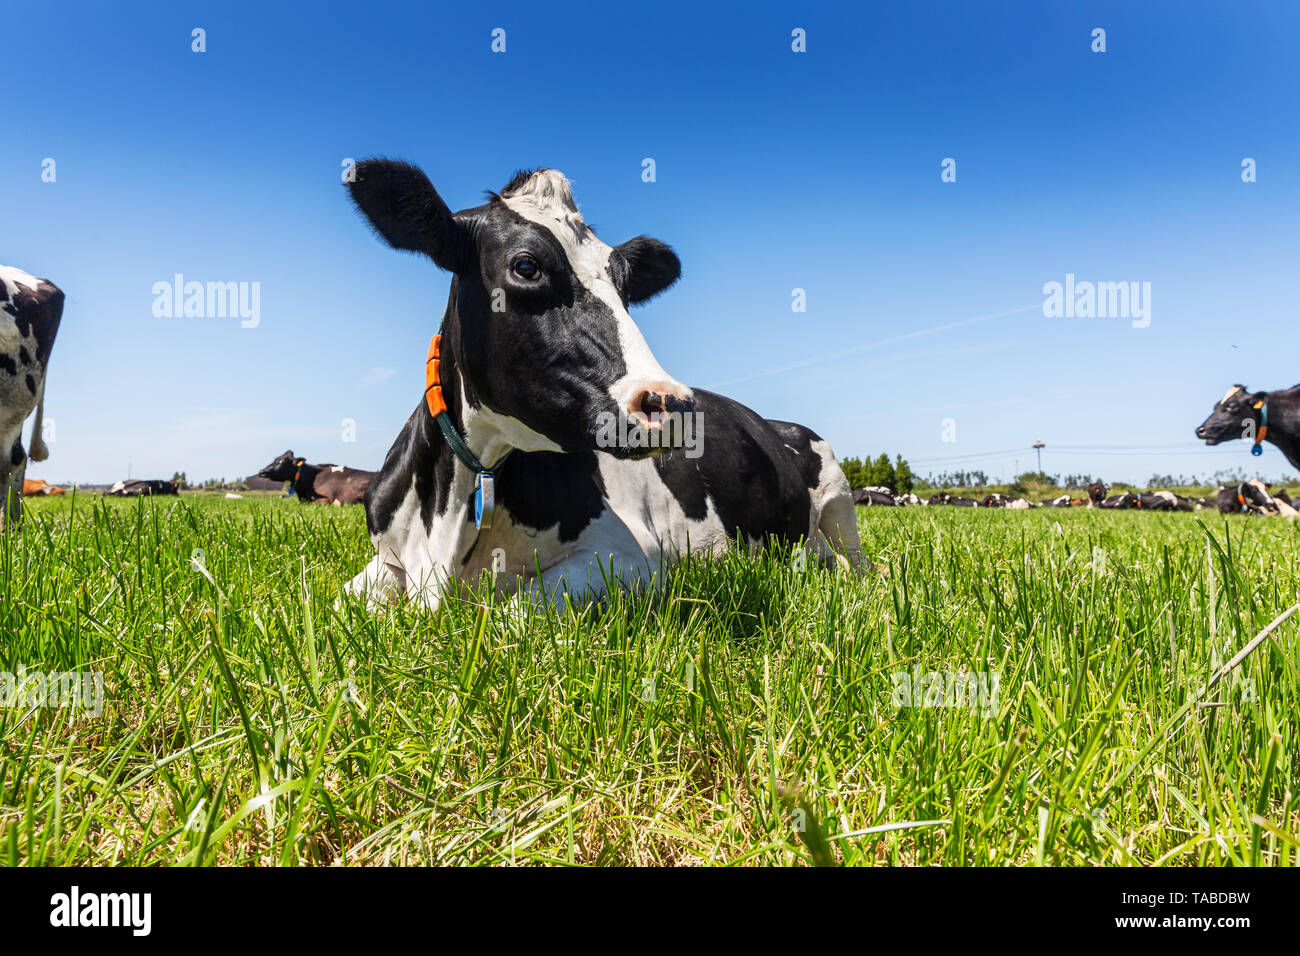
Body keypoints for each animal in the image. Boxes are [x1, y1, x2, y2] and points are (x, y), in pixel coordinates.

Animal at [339, 160, 864, 611]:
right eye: (526, 266)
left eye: (625, 286)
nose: (672, 404)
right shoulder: (384, 559)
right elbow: (342, 595)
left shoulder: (633, 558)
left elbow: (516, 607)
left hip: (839, 497)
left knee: (850, 563)